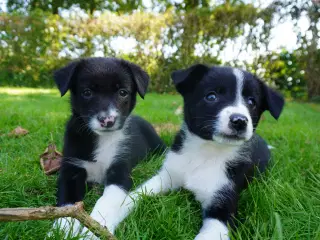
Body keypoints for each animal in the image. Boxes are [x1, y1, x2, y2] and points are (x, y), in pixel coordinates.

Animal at [50, 56, 165, 238]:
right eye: (87, 92)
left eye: (122, 92)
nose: (108, 120)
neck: (102, 138)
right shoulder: (71, 171)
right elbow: (68, 203)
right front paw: (62, 229)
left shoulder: (120, 172)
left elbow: (105, 200)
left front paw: (94, 231)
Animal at [116, 63, 284, 240]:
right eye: (211, 96)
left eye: (252, 102)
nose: (240, 121)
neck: (206, 151)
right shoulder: (166, 177)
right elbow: (133, 197)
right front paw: (107, 218)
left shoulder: (223, 204)